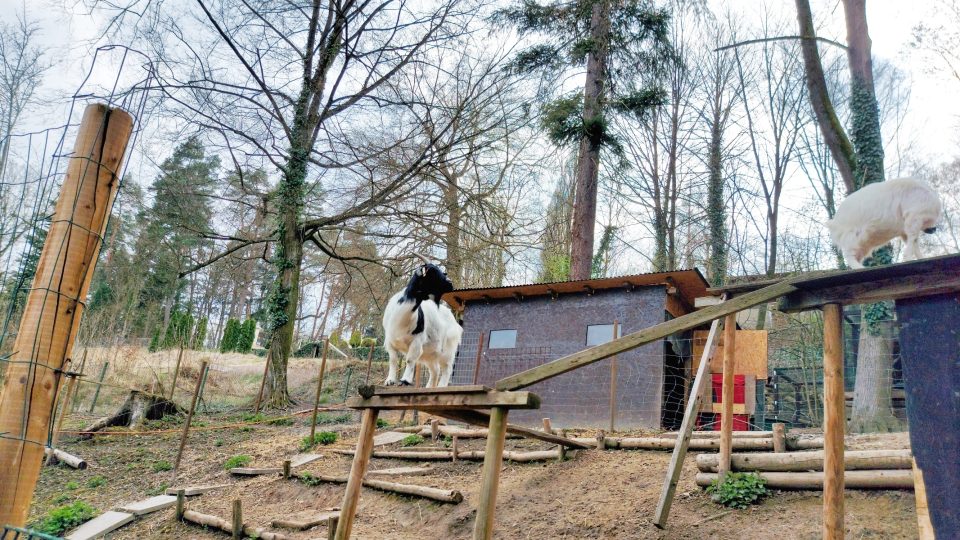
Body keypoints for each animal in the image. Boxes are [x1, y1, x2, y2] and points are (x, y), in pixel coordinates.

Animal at [382, 254, 462, 386]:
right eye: (433, 272)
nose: (450, 283)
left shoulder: (417, 342)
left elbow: (410, 360)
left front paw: (405, 380)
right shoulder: (390, 341)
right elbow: (393, 360)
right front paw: (390, 380)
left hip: (448, 349)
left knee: (447, 369)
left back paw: (440, 386)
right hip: (430, 354)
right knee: (435, 370)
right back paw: (429, 387)